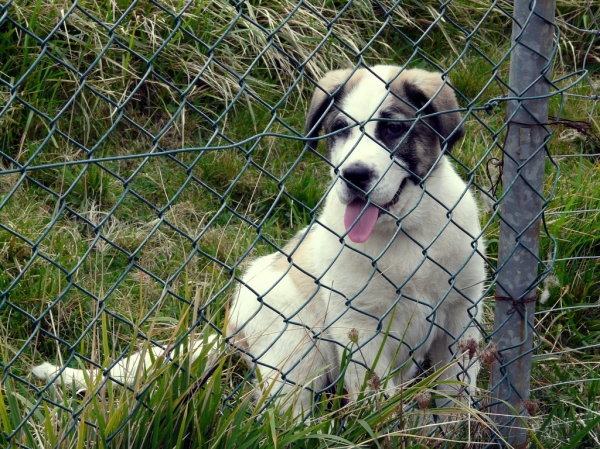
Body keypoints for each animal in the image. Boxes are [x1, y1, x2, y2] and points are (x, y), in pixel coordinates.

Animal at [30, 65, 486, 414]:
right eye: (340, 130)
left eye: (392, 129)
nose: (353, 175)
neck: (403, 231)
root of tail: (232, 325)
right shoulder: (360, 330)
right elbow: (378, 404)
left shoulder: (461, 318)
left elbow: (457, 391)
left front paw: (458, 429)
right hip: (295, 349)